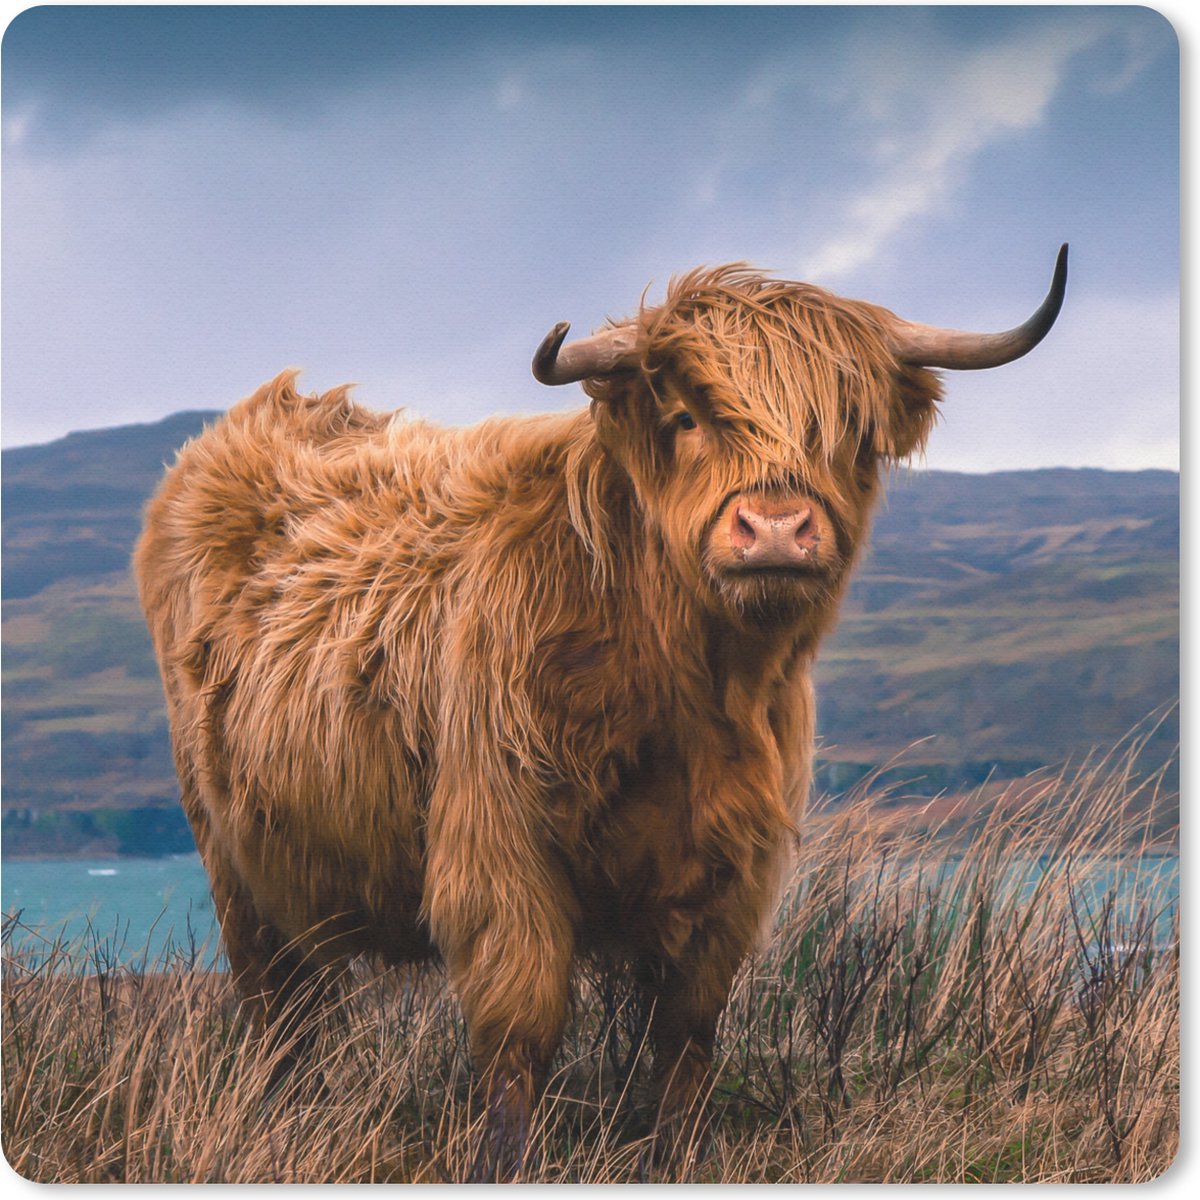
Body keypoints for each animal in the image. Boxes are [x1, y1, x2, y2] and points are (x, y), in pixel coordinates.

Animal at [134, 247, 1067, 1170]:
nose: (773, 530)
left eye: (849, 432)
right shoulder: (499, 852)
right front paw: (504, 1165)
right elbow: (519, 1031)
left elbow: (687, 1034)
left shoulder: (734, 873)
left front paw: (677, 1156)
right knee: (276, 1009)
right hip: (233, 862)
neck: (685, 691)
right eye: (687, 417)